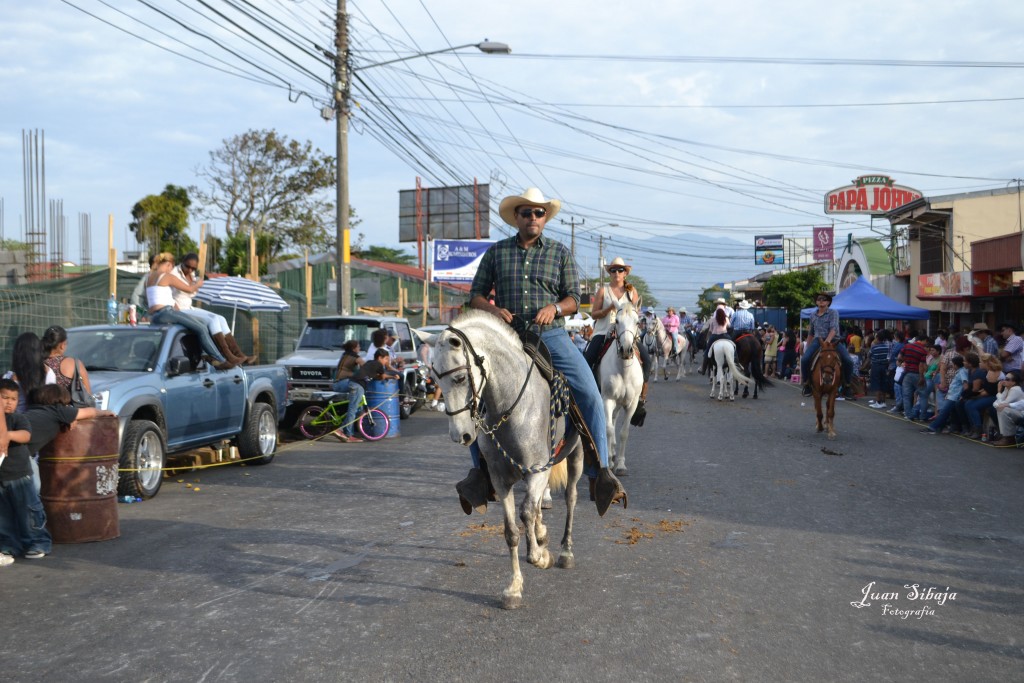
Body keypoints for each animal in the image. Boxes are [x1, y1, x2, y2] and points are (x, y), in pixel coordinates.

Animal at [413, 309, 585, 610]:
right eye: (434, 378)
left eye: (460, 378)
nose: (460, 435)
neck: (511, 407)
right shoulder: (500, 478)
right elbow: (511, 531)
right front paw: (513, 588)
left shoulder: (537, 470)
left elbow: (526, 512)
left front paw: (541, 557)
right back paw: (541, 534)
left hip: (576, 455)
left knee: (570, 498)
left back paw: (564, 552)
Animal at [598, 305, 643, 475]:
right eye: (616, 321)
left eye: (637, 322)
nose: (626, 350)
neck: (623, 370)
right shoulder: (607, 399)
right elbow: (609, 429)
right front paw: (610, 462)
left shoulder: (632, 403)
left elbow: (624, 432)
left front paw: (621, 465)